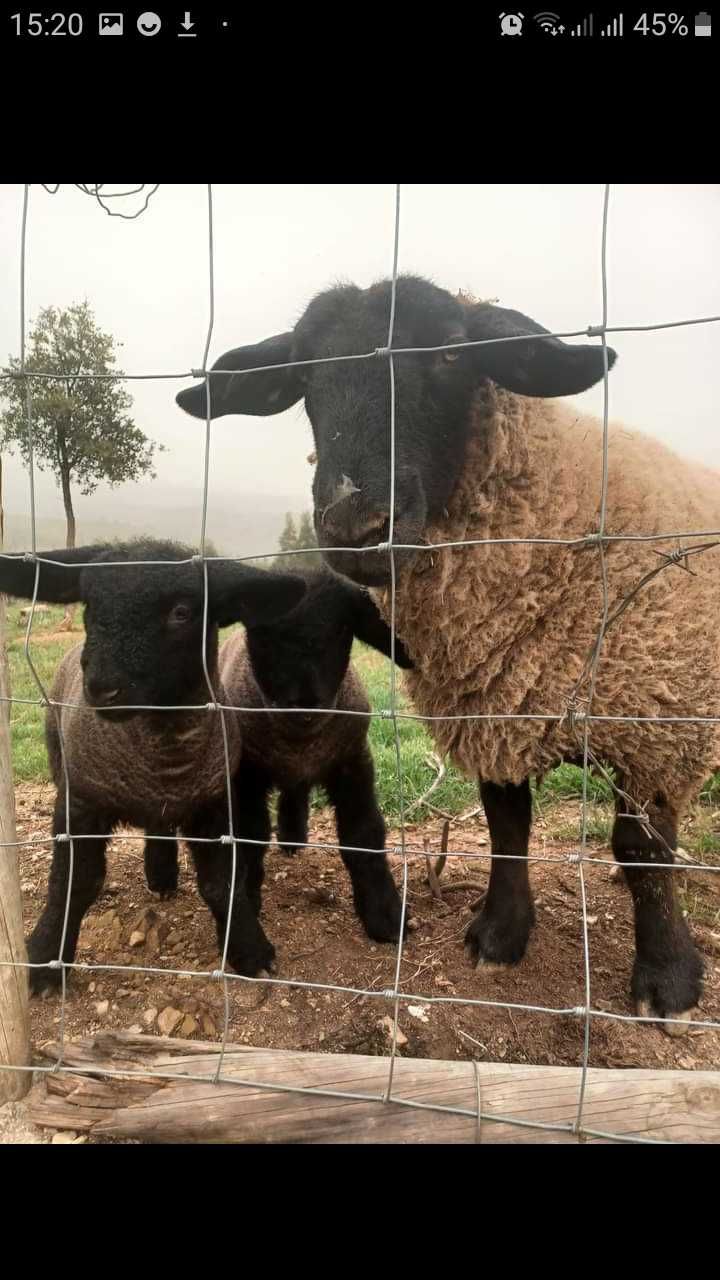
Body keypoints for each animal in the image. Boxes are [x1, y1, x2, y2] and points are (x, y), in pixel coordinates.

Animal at [0, 537, 303, 988]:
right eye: (89, 605)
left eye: (182, 612)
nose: (102, 688)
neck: (164, 753)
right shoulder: (80, 803)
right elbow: (71, 884)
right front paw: (45, 959)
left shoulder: (215, 804)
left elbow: (221, 884)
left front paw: (249, 949)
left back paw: (162, 875)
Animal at [176, 277, 717, 1029]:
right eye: (305, 374)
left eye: (452, 354)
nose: (356, 525)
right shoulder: (495, 707)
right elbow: (507, 825)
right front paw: (500, 935)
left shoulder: (659, 729)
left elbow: (644, 852)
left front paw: (667, 980)